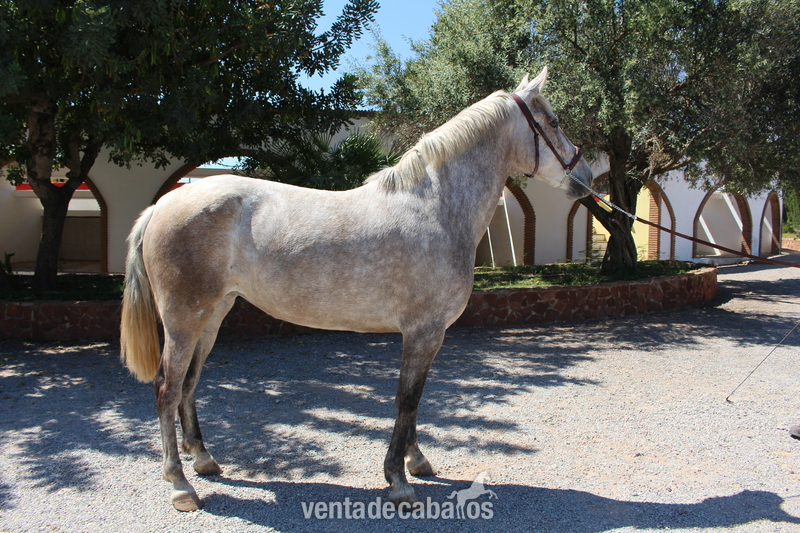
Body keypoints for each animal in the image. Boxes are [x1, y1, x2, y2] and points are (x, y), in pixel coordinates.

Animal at [120, 67, 593, 512]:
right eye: (553, 121)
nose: (585, 174)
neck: (435, 208)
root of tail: (162, 204)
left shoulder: (425, 334)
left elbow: (415, 399)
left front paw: (415, 462)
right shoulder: (424, 331)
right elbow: (406, 399)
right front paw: (398, 481)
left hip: (212, 315)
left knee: (189, 384)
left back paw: (203, 459)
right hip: (183, 321)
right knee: (166, 388)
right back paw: (181, 485)